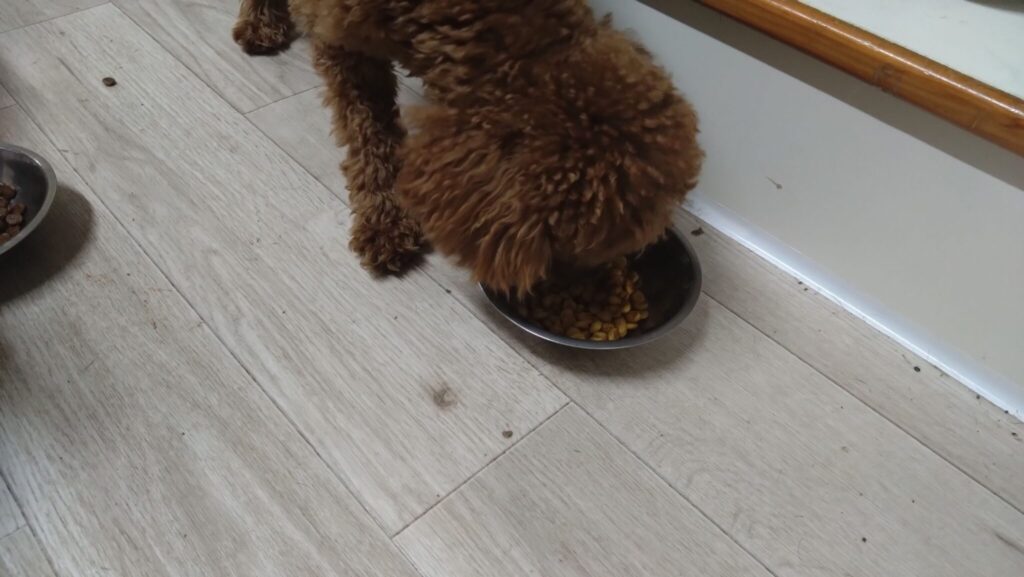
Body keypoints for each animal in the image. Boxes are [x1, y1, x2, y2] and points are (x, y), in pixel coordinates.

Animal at [234, 0, 702, 295]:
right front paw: (385, 221)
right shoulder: (345, 42)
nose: (586, 288)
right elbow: (371, 137)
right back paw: (260, 23)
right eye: (574, 247)